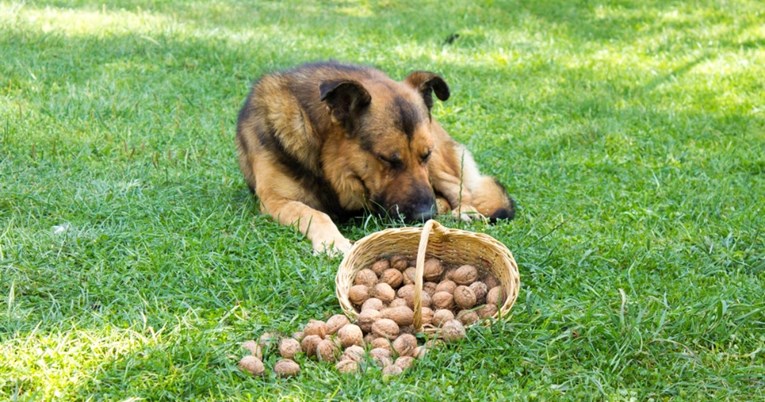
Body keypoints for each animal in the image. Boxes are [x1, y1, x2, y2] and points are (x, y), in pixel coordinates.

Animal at [236, 61, 516, 256]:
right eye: (389, 159)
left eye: (424, 155)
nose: (426, 215)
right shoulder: (275, 200)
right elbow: (314, 213)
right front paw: (332, 241)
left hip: (441, 166)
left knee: (460, 189)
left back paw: (465, 211)